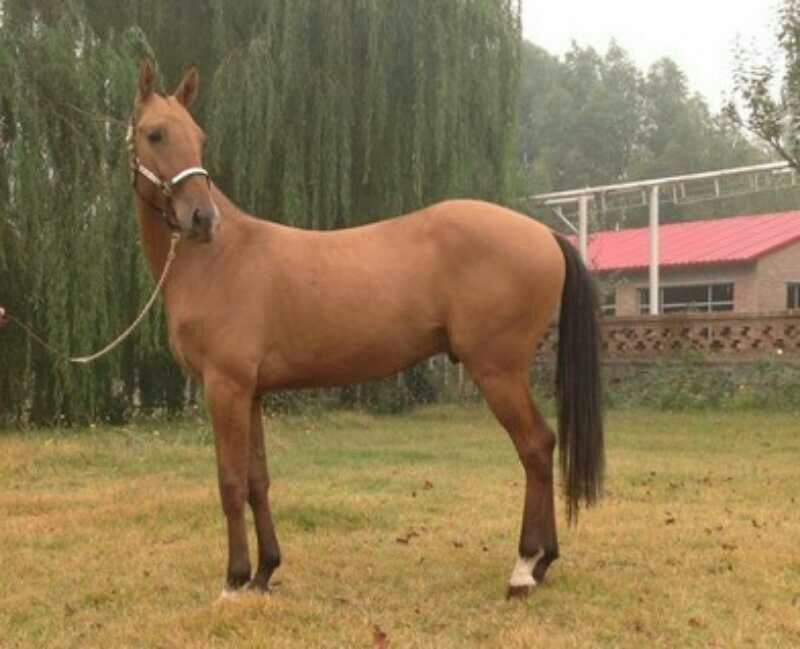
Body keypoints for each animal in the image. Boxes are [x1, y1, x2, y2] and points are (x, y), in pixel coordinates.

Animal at [128, 60, 604, 600]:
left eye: (199, 137)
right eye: (156, 133)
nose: (202, 219)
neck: (220, 259)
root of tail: (544, 233)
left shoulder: (224, 388)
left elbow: (230, 482)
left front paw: (234, 580)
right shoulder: (250, 393)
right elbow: (256, 480)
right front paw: (265, 572)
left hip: (497, 371)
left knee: (536, 447)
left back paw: (524, 567)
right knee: (543, 447)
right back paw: (543, 562)